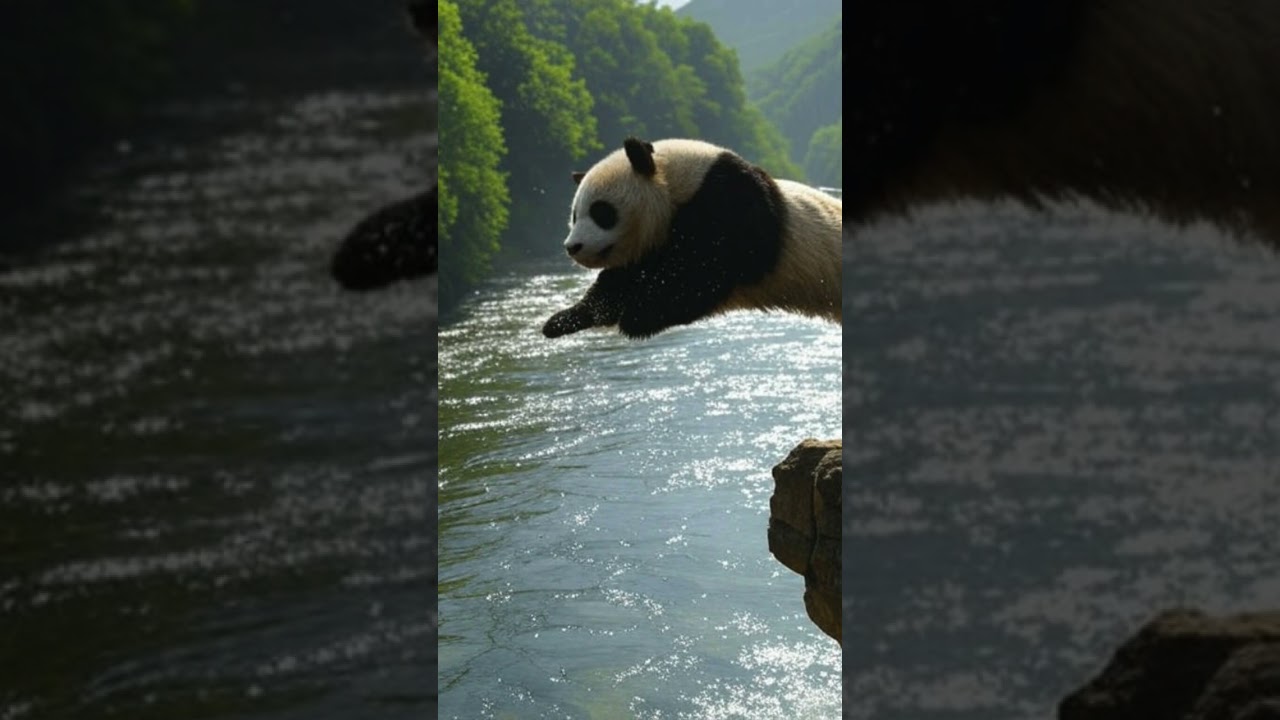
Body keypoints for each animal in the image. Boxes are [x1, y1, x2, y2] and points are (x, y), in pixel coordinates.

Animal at [542, 138, 841, 339]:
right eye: (574, 215)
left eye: (601, 212)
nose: (573, 247)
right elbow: (620, 281)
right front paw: (561, 321)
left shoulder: (731, 204)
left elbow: (707, 270)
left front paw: (638, 315)